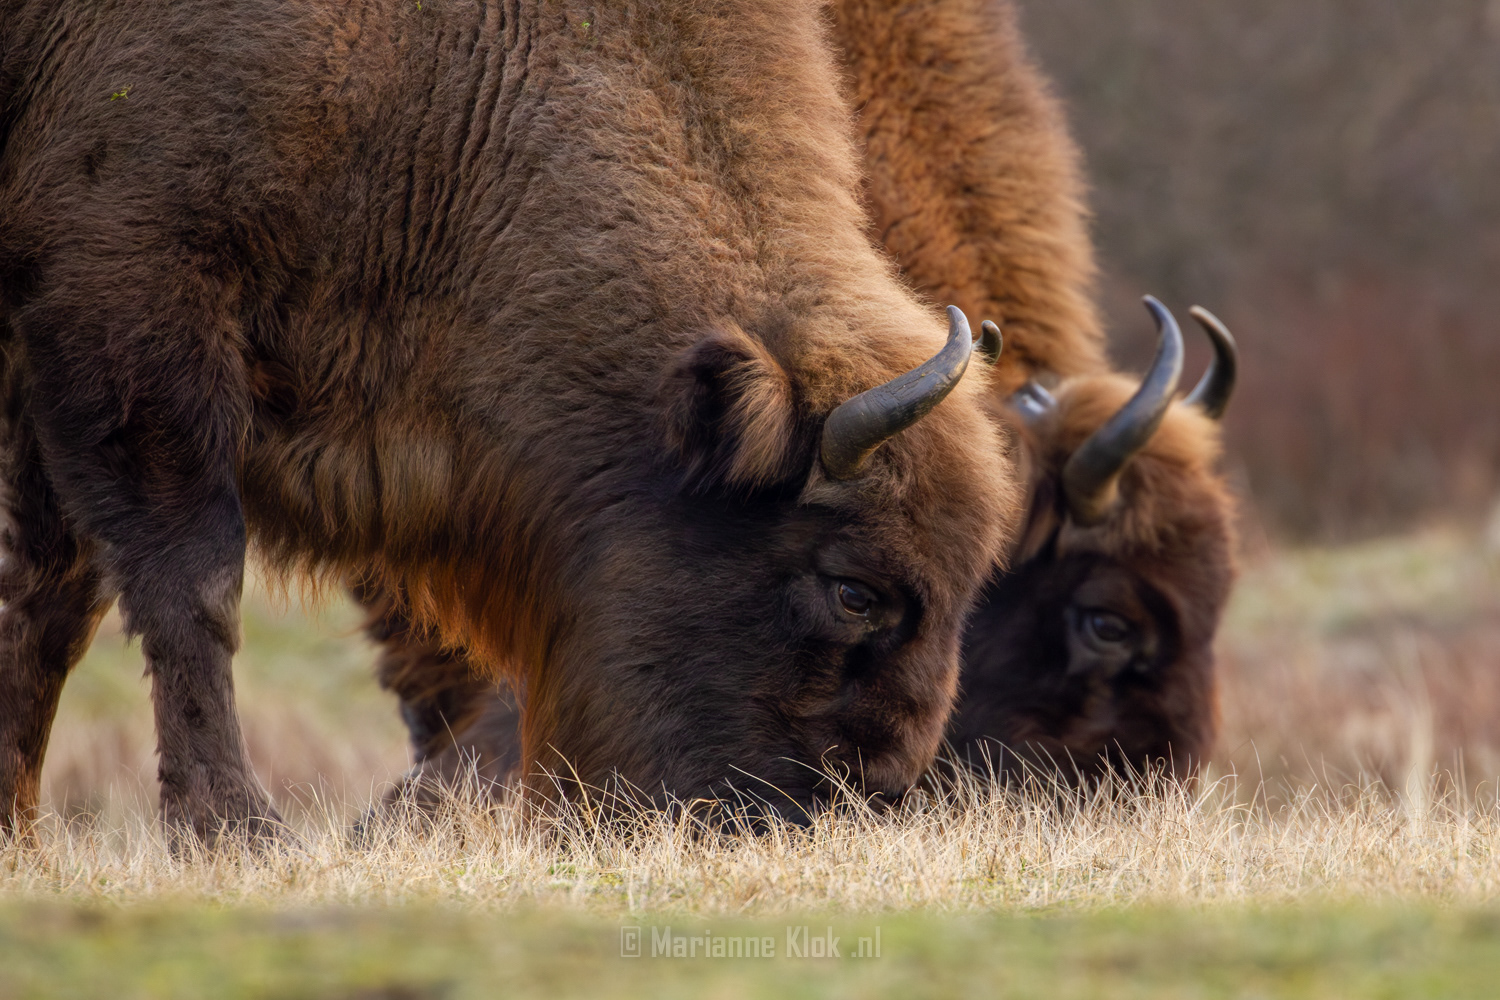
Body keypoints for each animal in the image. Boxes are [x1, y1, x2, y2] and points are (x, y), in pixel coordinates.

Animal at [0, 1, 1022, 843]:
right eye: (855, 592)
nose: (856, 804)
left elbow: (50, 598)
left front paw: (19, 835)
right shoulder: (127, 314)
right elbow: (191, 590)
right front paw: (235, 835)